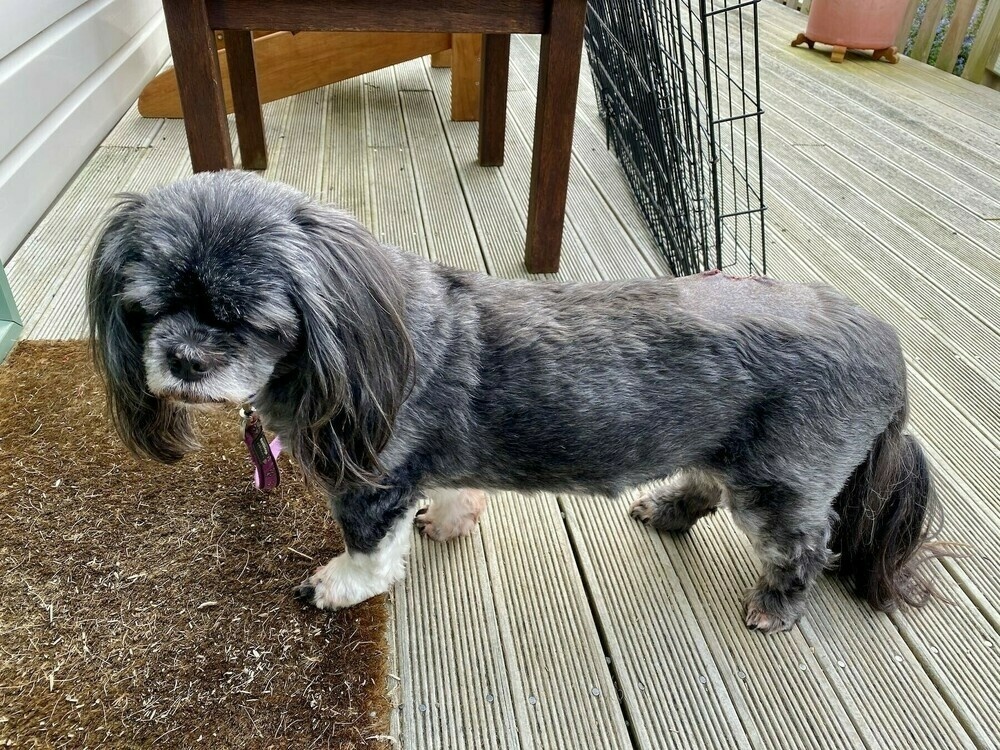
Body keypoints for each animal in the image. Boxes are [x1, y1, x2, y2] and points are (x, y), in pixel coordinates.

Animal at [88, 172, 944, 636]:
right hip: (720, 446)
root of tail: (887, 344)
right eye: (145, 309)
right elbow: (449, 493)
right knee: (702, 483)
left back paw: (777, 604)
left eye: (245, 319)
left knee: (806, 544)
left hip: (780, 480)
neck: (358, 339)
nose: (183, 358)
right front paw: (449, 519)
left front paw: (337, 585)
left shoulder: (371, 485)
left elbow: (368, 554)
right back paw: (667, 511)